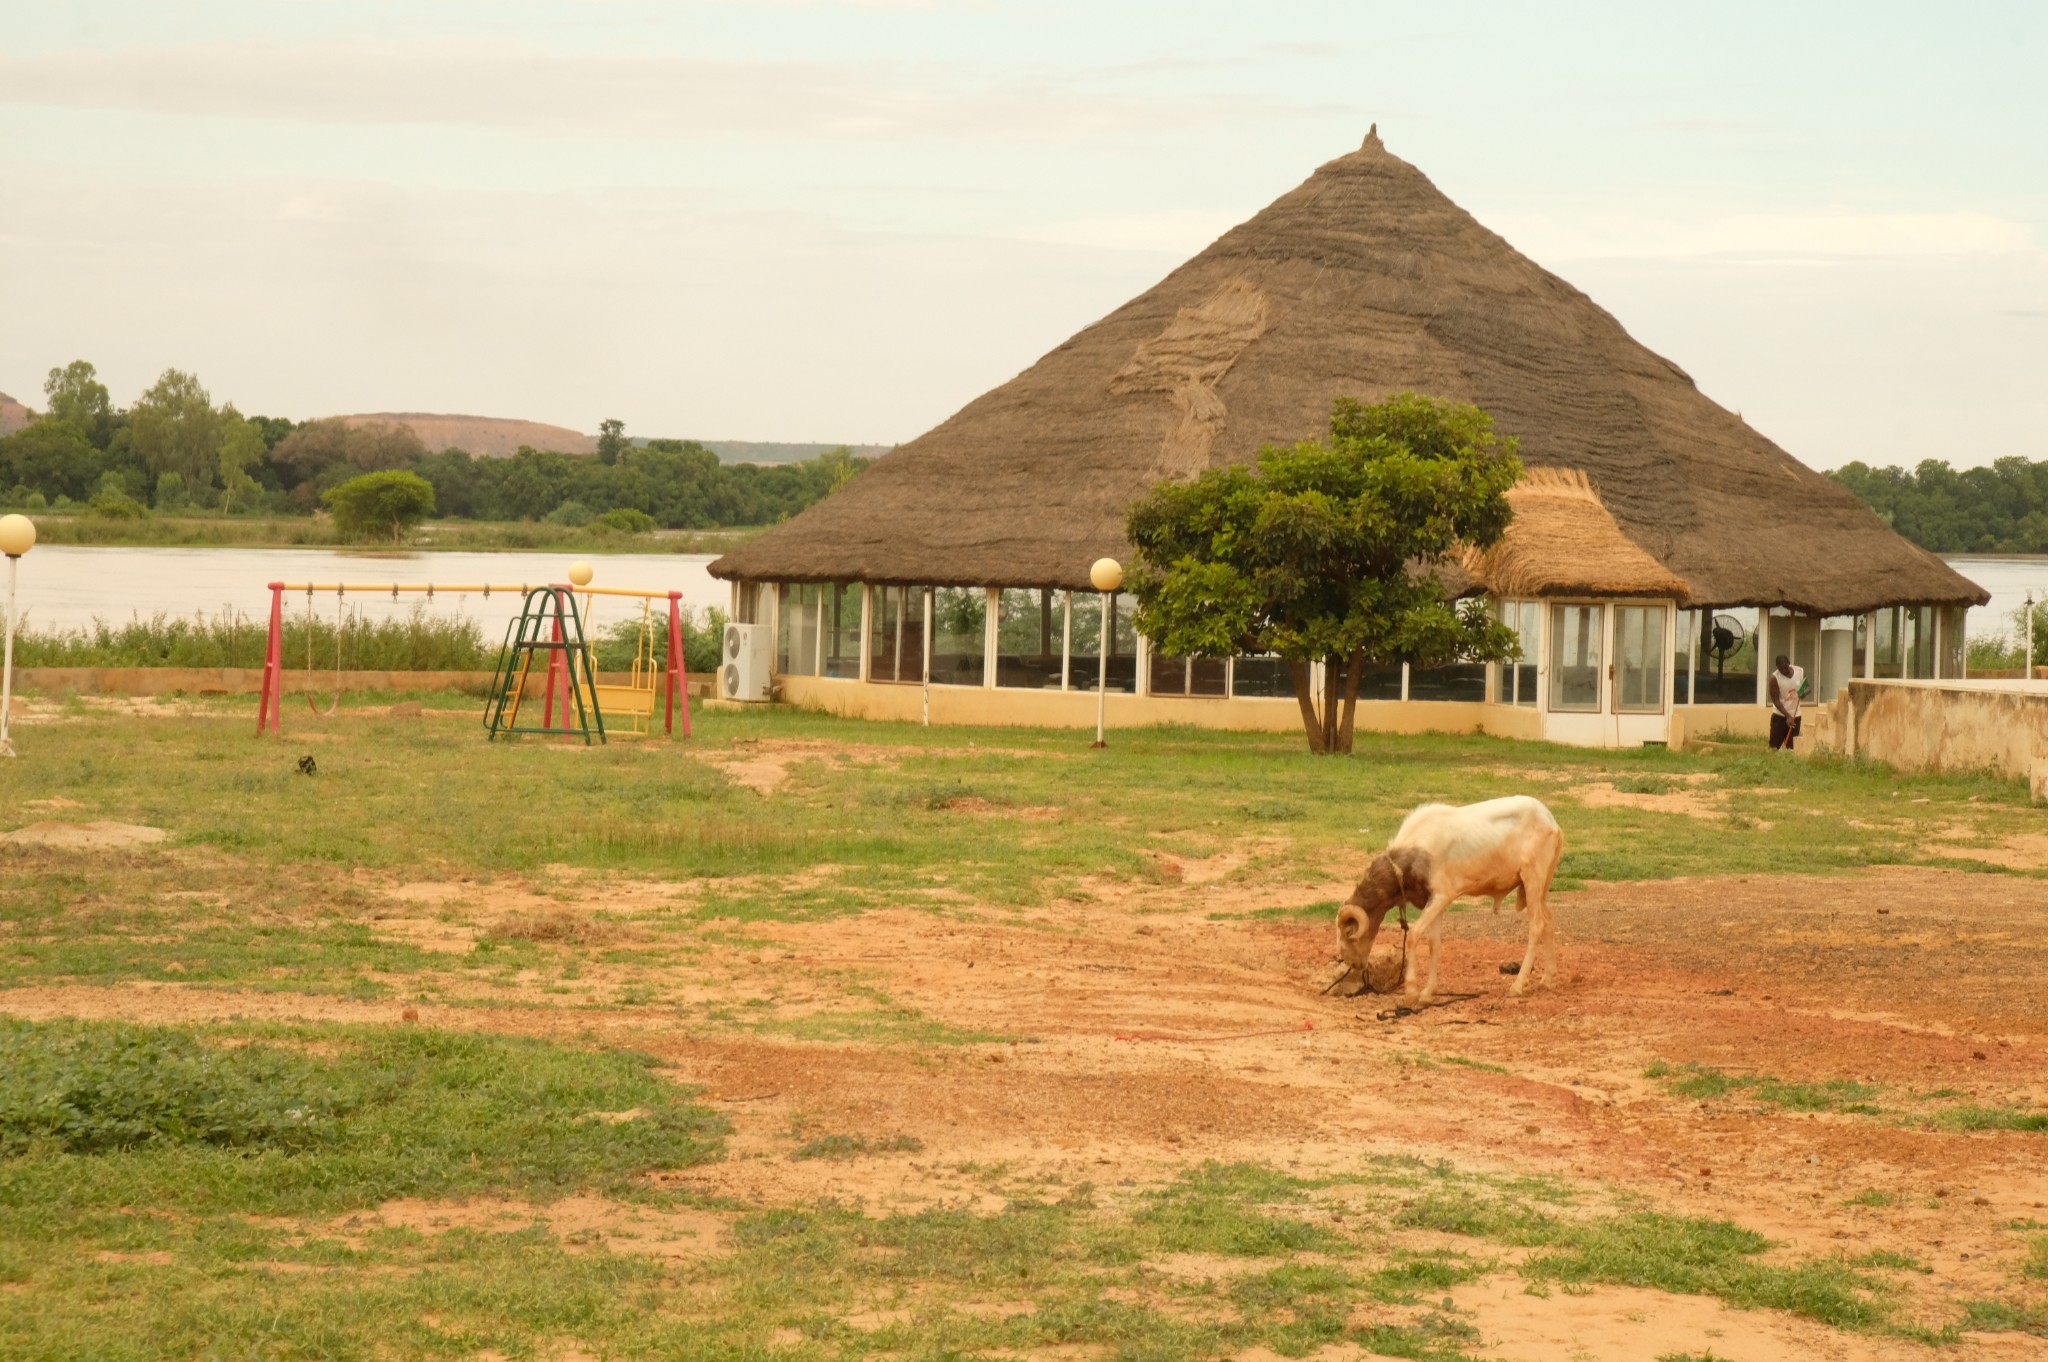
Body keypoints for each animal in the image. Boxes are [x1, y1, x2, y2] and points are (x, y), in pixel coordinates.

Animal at [1335, 790, 1556, 1003]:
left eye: (1347, 933)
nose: (1352, 962)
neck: (1411, 858)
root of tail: (1550, 820)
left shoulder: (1441, 896)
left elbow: (1414, 936)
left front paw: (1412, 992)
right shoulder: (1435, 903)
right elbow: (1434, 943)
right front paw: (1428, 993)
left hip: (1532, 879)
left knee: (1537, 926)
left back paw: (1517, 986)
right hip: (1540, 887)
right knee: (1548, 921)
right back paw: (1546, 980)